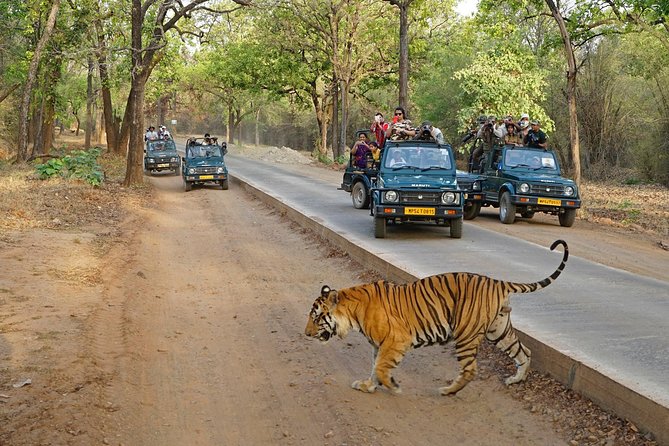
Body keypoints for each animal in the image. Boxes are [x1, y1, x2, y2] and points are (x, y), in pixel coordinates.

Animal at [304, 239, 568, 396]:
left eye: (316, 318)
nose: (306, 334)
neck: (352, 312)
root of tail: (497, 281)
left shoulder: (396, 340)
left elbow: (380, 367)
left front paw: (393, 386)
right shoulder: (379, 345)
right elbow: (374, 367)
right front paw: (368, 385)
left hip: (466, 334)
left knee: (471, 370)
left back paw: (448, 390)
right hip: (499, 330)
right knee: (524, 352)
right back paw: (516, 380)